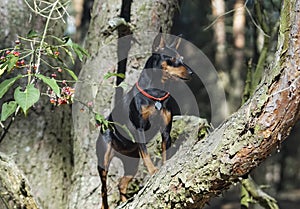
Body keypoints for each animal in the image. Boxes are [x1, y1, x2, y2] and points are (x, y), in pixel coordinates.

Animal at [97, 34, 193, 209]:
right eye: (172, 59)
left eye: (182, 58)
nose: (191, 73)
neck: (156, 93)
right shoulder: (140, 128)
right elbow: (147, 154)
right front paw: (154, 171)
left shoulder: (166, 130)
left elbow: (165, 152)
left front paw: (164, 167)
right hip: (104, 158)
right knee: (104, 190)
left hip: (132, 163)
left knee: (121, 184)